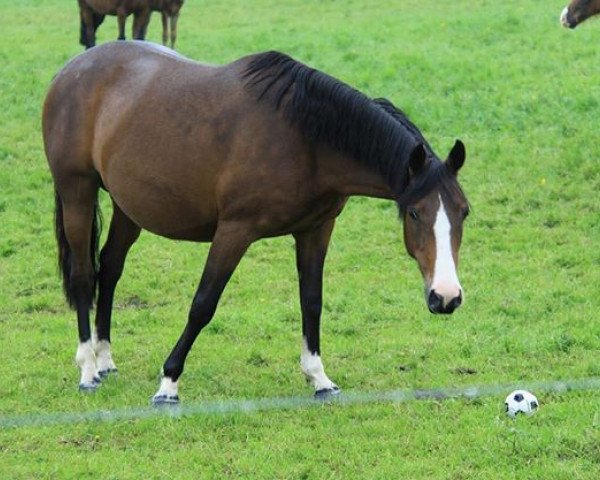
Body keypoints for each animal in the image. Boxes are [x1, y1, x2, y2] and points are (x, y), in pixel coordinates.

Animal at [44, 42, 472, 404]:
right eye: (415, 212)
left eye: (464, 211)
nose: (446, 297)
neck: (305, 137)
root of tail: (72, 70)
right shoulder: (235, 230)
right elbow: (203, 304)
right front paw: (168, 382)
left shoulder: (316, 230)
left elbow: (311, 301)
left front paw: (319, 377)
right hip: (77, 192)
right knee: (84, 276)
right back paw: (87, 369)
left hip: (128, 206)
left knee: (110, 268)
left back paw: (104, 359)